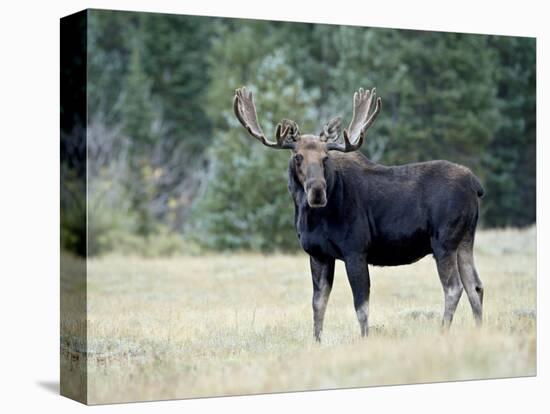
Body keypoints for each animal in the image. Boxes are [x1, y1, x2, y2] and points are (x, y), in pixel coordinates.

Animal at [233, 85, 488, 342]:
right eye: (298, 156)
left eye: (325, 157)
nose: (317, 192)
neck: (312, 219)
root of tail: (475, 184)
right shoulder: (318, 254)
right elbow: (318, 304)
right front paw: (317, 341)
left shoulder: (355, 250)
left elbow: (361, 305)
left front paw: (365, 339)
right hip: (465, 240)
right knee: (475, 286)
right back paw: (478, 331)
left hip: (444, 241)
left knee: (454, 287)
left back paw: (443, 331)